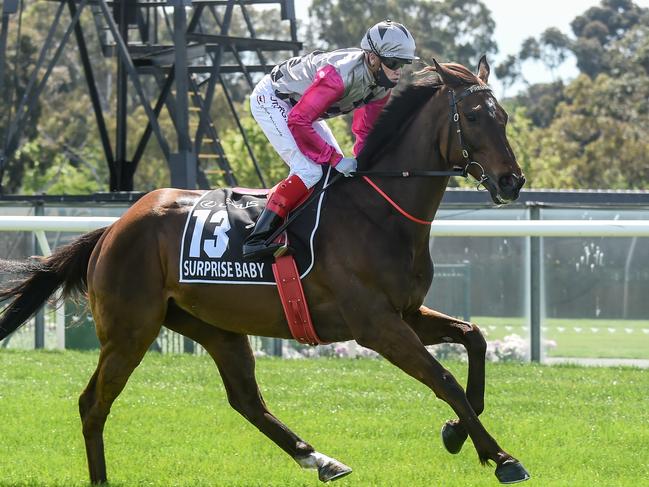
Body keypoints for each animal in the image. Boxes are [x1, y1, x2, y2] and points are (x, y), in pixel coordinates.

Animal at [0, 59, 528, 486]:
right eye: (474, 116)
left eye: (502, 116)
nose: (512, 181)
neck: (379, 210)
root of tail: (113, 227)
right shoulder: (376, 325)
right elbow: (444, 379)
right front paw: (500, 456)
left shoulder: (407, 312)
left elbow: (475, 338)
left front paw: (457, 432)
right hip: (130, 330)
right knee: (93, 403)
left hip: (213, 326)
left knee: (246, 400)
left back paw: (320, 459)